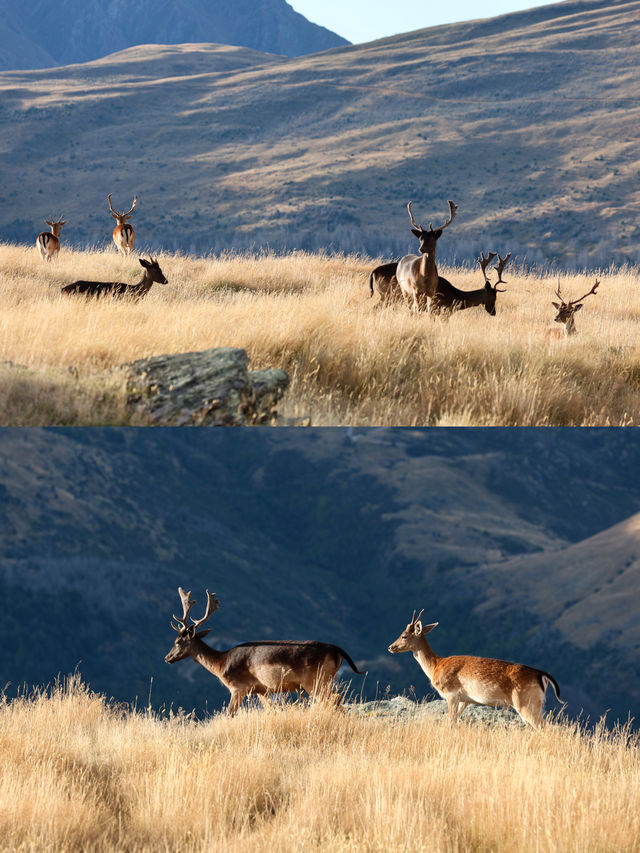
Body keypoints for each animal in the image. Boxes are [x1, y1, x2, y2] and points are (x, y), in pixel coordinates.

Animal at [165, 584, 364, 712]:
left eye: (177, 641)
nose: (167, 657)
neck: (221, 664)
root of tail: (336, 650)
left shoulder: (238, 687)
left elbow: (229, 714)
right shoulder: (261, 690)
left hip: (316, 680)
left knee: (335, 702)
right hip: (325, 680)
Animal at [384, 608, 560, 728]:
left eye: (404, 635)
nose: (390, 647)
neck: (435, 666)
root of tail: (541, 675)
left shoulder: (451, 693)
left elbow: (451, 721)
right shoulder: (465, 700)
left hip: (526, 703)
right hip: (535, 704)